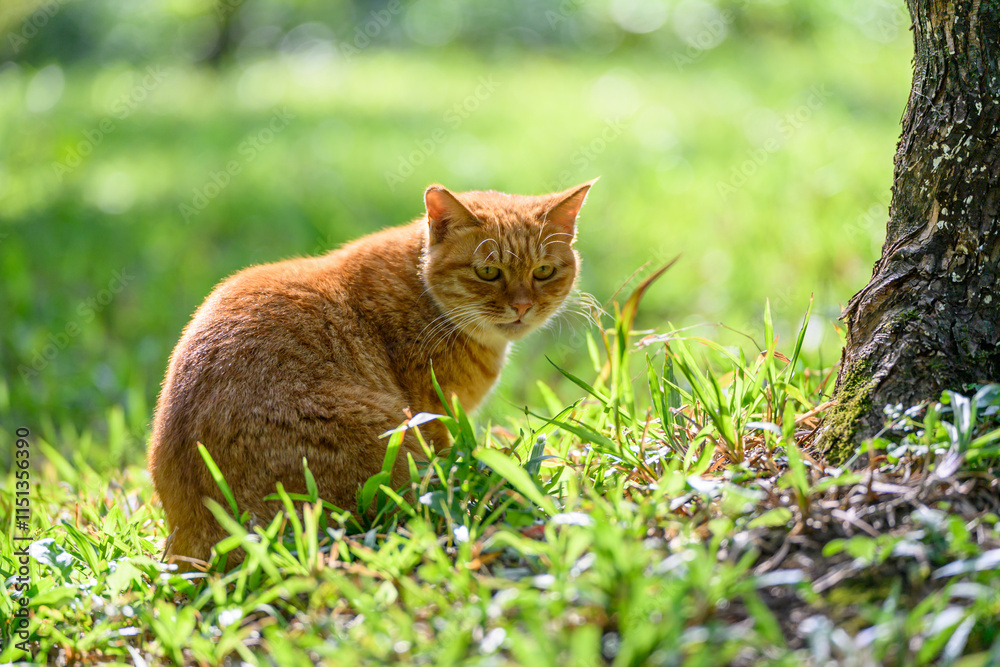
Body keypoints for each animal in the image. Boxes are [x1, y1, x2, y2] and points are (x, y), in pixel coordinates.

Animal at [148, 180, 592, 568]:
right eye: (488, 272)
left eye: (543, 271)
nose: (522, 306)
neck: (423, 288)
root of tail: (195, 537)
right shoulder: (433, 412)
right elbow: (449, 455)